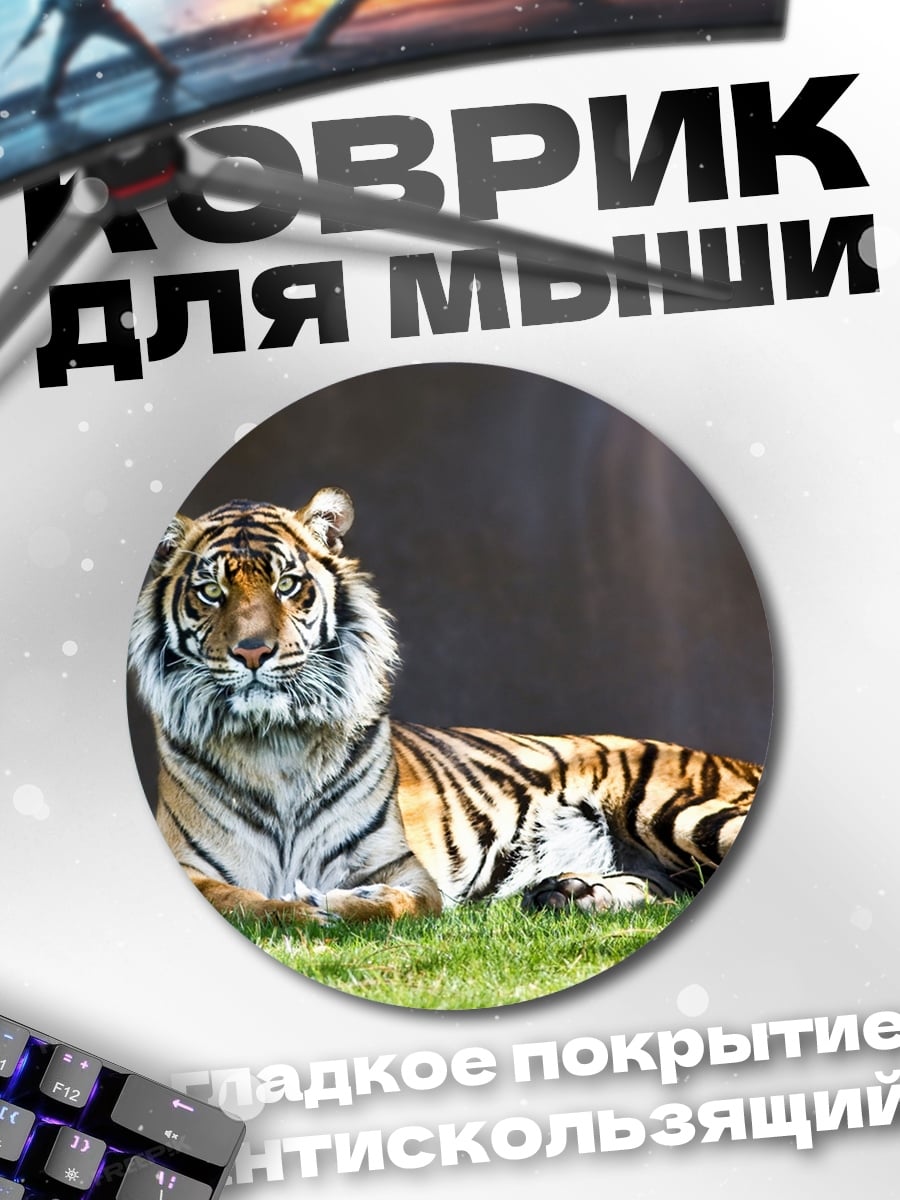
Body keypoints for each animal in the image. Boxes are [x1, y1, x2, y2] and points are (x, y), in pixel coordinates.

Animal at [128, 486, 762, 926]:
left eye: (288, 585)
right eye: (211, 591)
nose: (253, 651)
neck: (274, 741)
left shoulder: (403, 868)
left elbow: (395, 903)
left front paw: (334, 904)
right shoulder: (191, 868)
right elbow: (245, 903)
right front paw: (297, 907)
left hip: (676, 810)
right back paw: (573, 892)